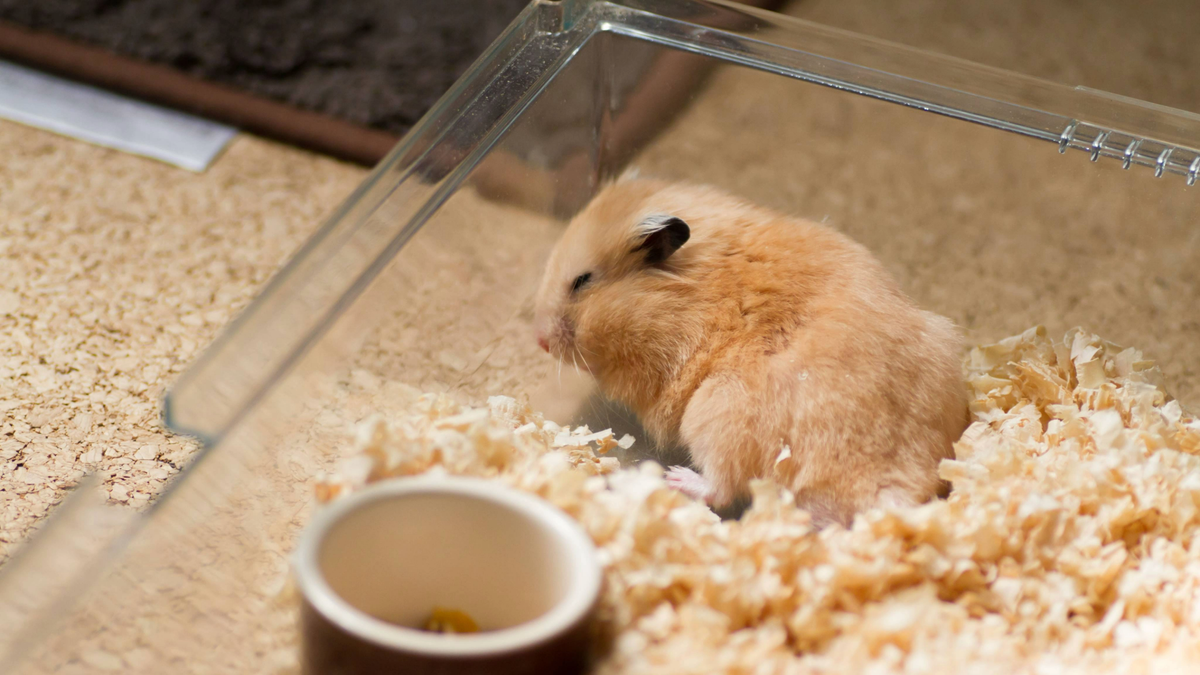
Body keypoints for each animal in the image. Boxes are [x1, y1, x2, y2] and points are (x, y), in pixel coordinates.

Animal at [540, 176, 969, 523]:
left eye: (582, 281)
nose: (540, 340)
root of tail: (886, 480)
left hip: (716, 412)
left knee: (722, 487)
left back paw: (676, 478)